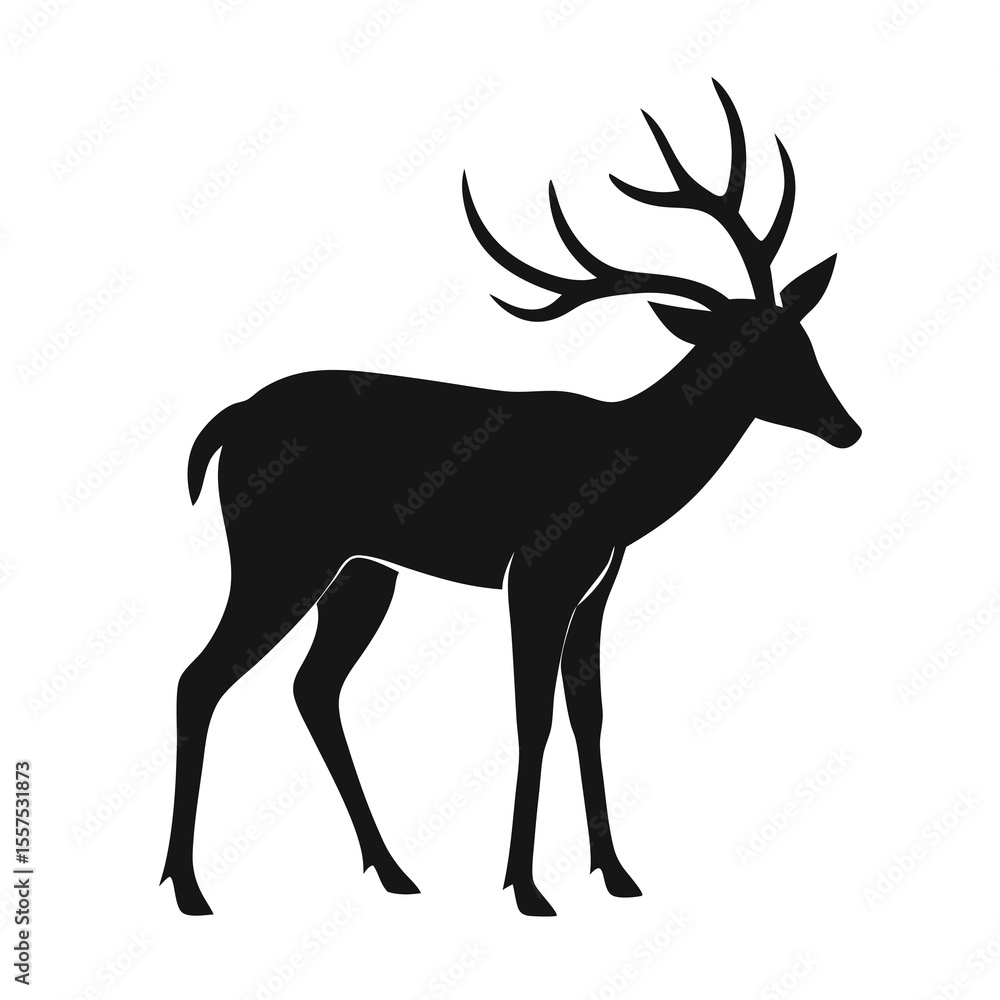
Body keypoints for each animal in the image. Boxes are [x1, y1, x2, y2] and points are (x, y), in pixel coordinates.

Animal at [161, 80, 861, 918]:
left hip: (362, 571)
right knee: (200, 678)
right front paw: (526, 886)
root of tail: (226, 425)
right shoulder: (536, 571)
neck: (625, 476)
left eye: (803, 340)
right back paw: (188, 887)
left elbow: (590, 715)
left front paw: (615, 873)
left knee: (312, 688)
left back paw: (393, 870)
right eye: (752, 352)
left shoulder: (596, 583)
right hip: (281, 553)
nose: (847, 427)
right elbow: (534, 718)